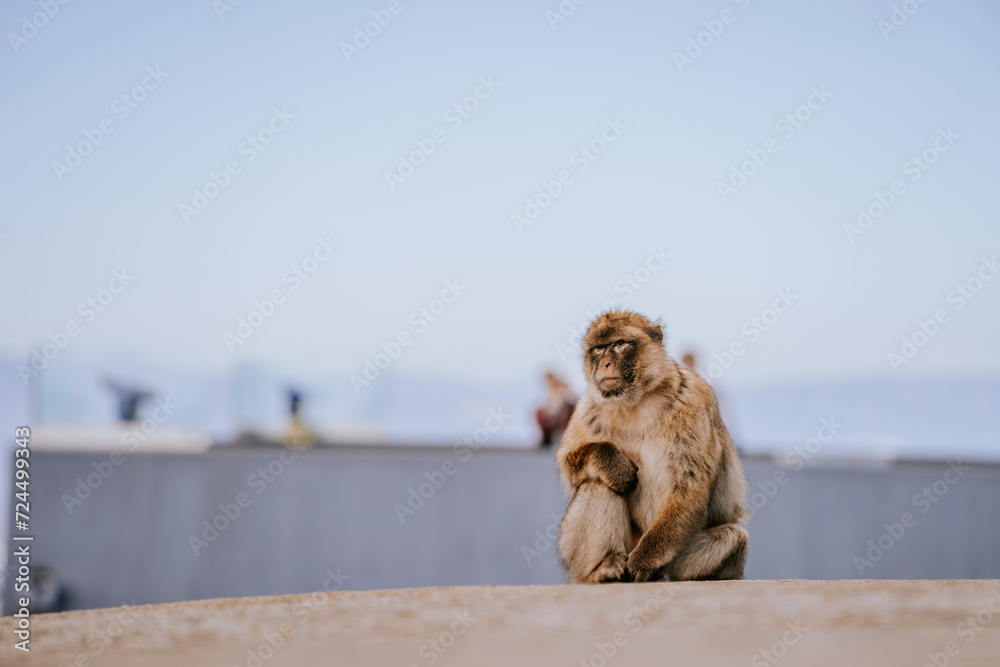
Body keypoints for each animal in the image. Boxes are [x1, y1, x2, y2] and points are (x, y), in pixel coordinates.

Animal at [556, 310, 748, 583]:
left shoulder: (693, 398)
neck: (636, 400)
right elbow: (568, 465)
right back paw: (601, 570)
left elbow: (689, 487)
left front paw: (643, 561)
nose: (605, 364)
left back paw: (658, 573)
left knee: (735, 538)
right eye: (599, 349)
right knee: (599, 484)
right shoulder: (587, 406)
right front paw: (611, 460)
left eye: (619, 344)